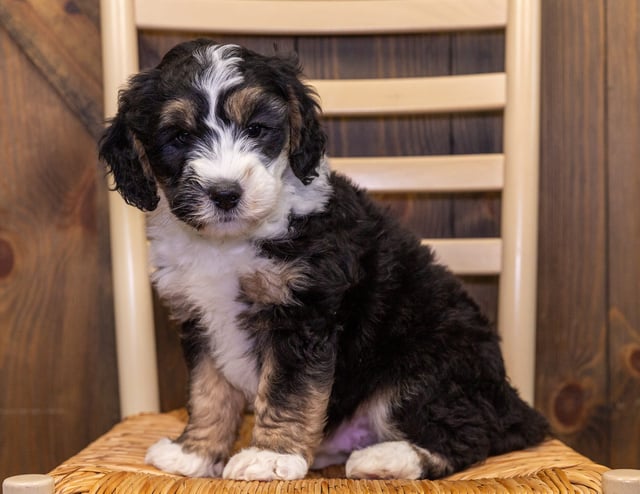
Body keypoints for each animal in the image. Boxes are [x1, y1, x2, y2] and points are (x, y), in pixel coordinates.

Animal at [100, 40, 552, 480]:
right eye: (178, 137)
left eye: (256, 129)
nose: (225, 193)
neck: (228, 241)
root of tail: (513, 404)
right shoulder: (199, 318)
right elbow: (207, 391)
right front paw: (194, 453)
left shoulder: (302, 311)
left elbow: (288, 389)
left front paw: (269, 456)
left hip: (428, 370)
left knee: (468, 434)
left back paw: (383, 459)